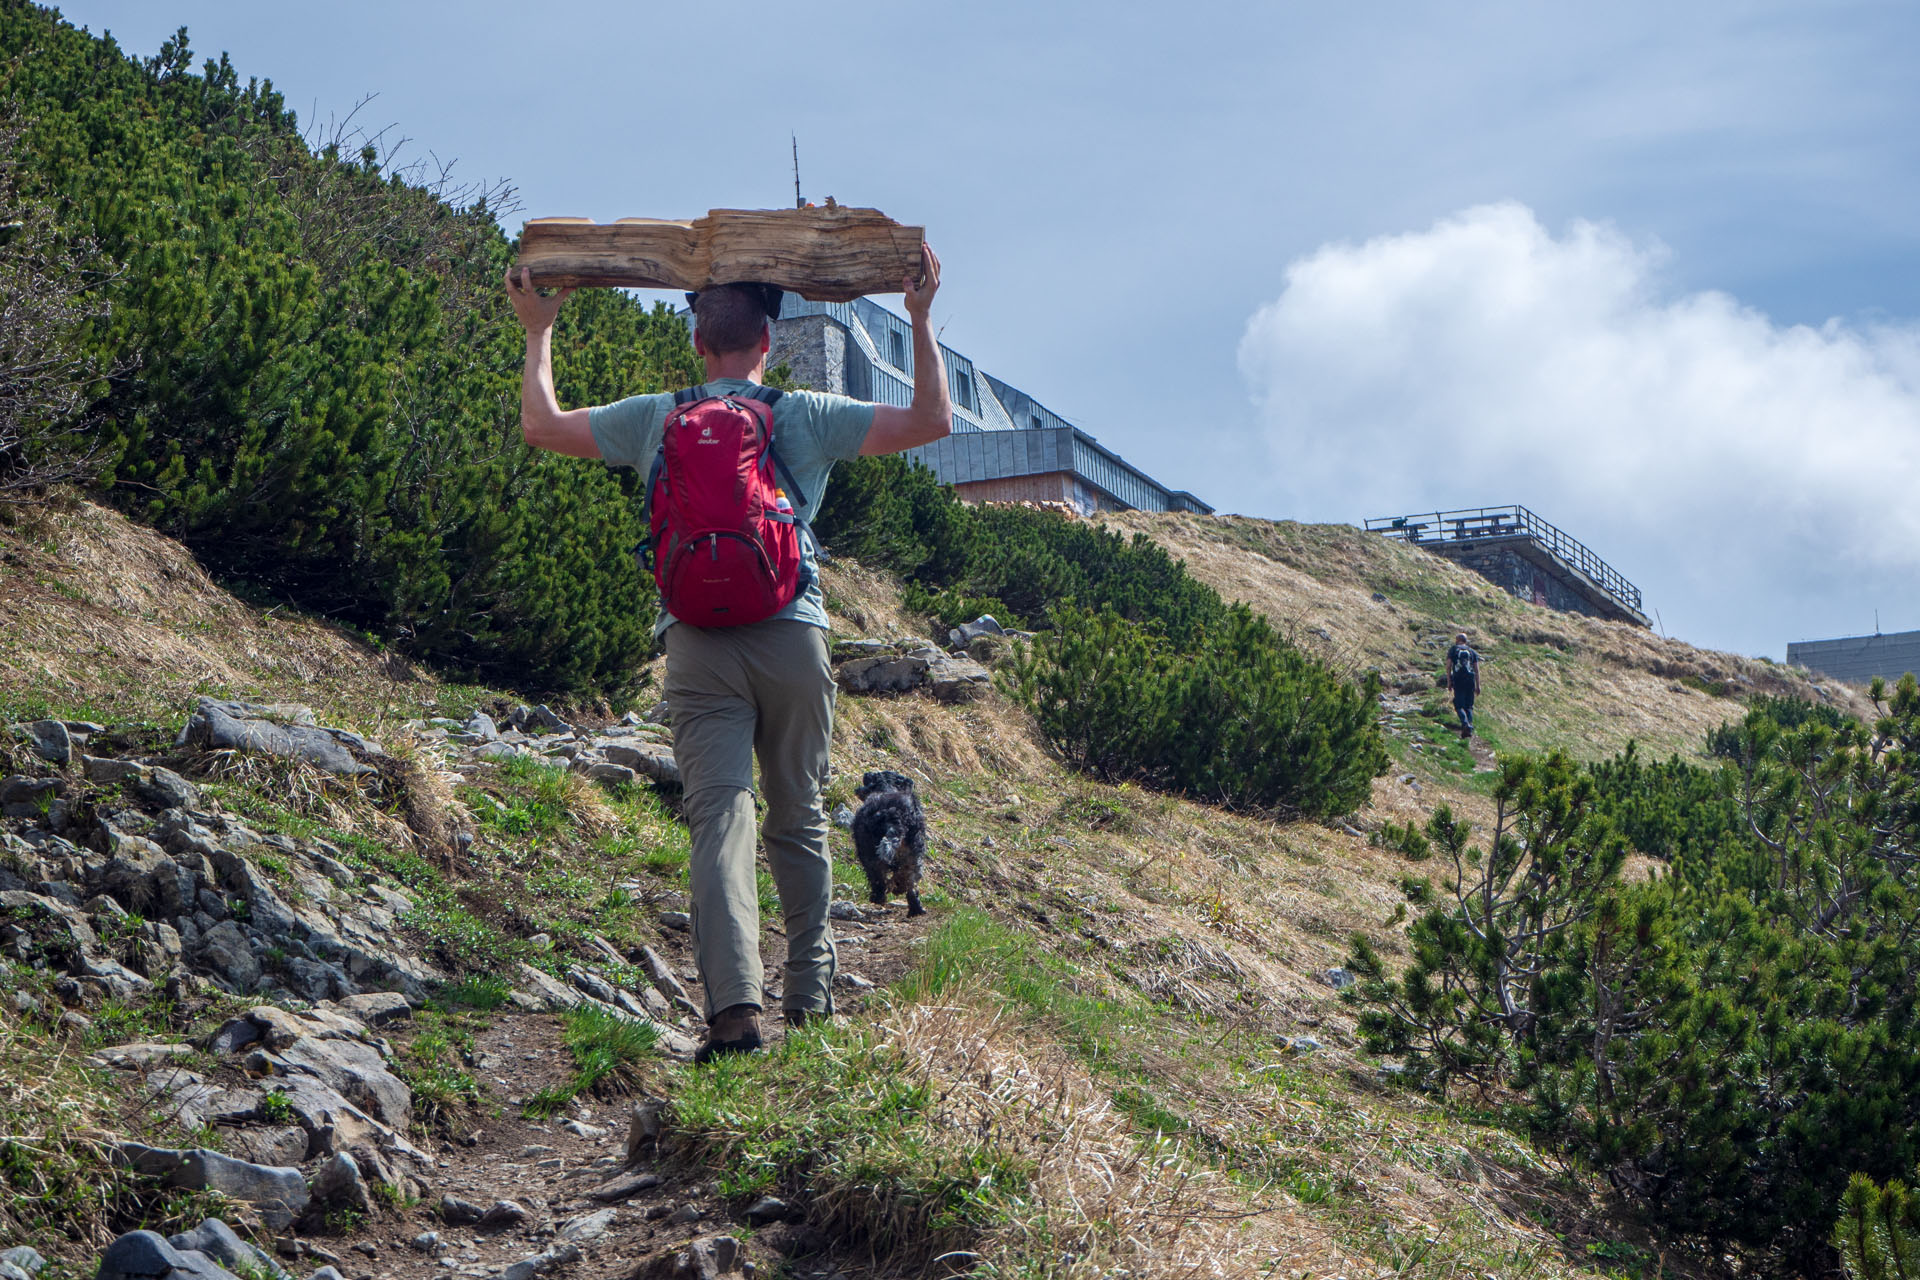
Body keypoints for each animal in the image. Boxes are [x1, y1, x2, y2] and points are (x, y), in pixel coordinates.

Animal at [852, 771, 925, 921]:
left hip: (870, 851)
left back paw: (878, 897)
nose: (866, 773)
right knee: (910, 880)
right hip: (915, 851)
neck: (888, 787)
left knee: (878, 877)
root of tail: (895, 815)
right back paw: (914, 908)